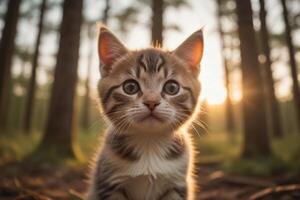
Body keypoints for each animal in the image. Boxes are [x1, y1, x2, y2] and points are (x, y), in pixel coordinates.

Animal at [86, 27, 204, 200]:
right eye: (130, 87)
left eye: (172, 88)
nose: (151, 102)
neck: (150, 143)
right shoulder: (110, 185)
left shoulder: (177, 186)